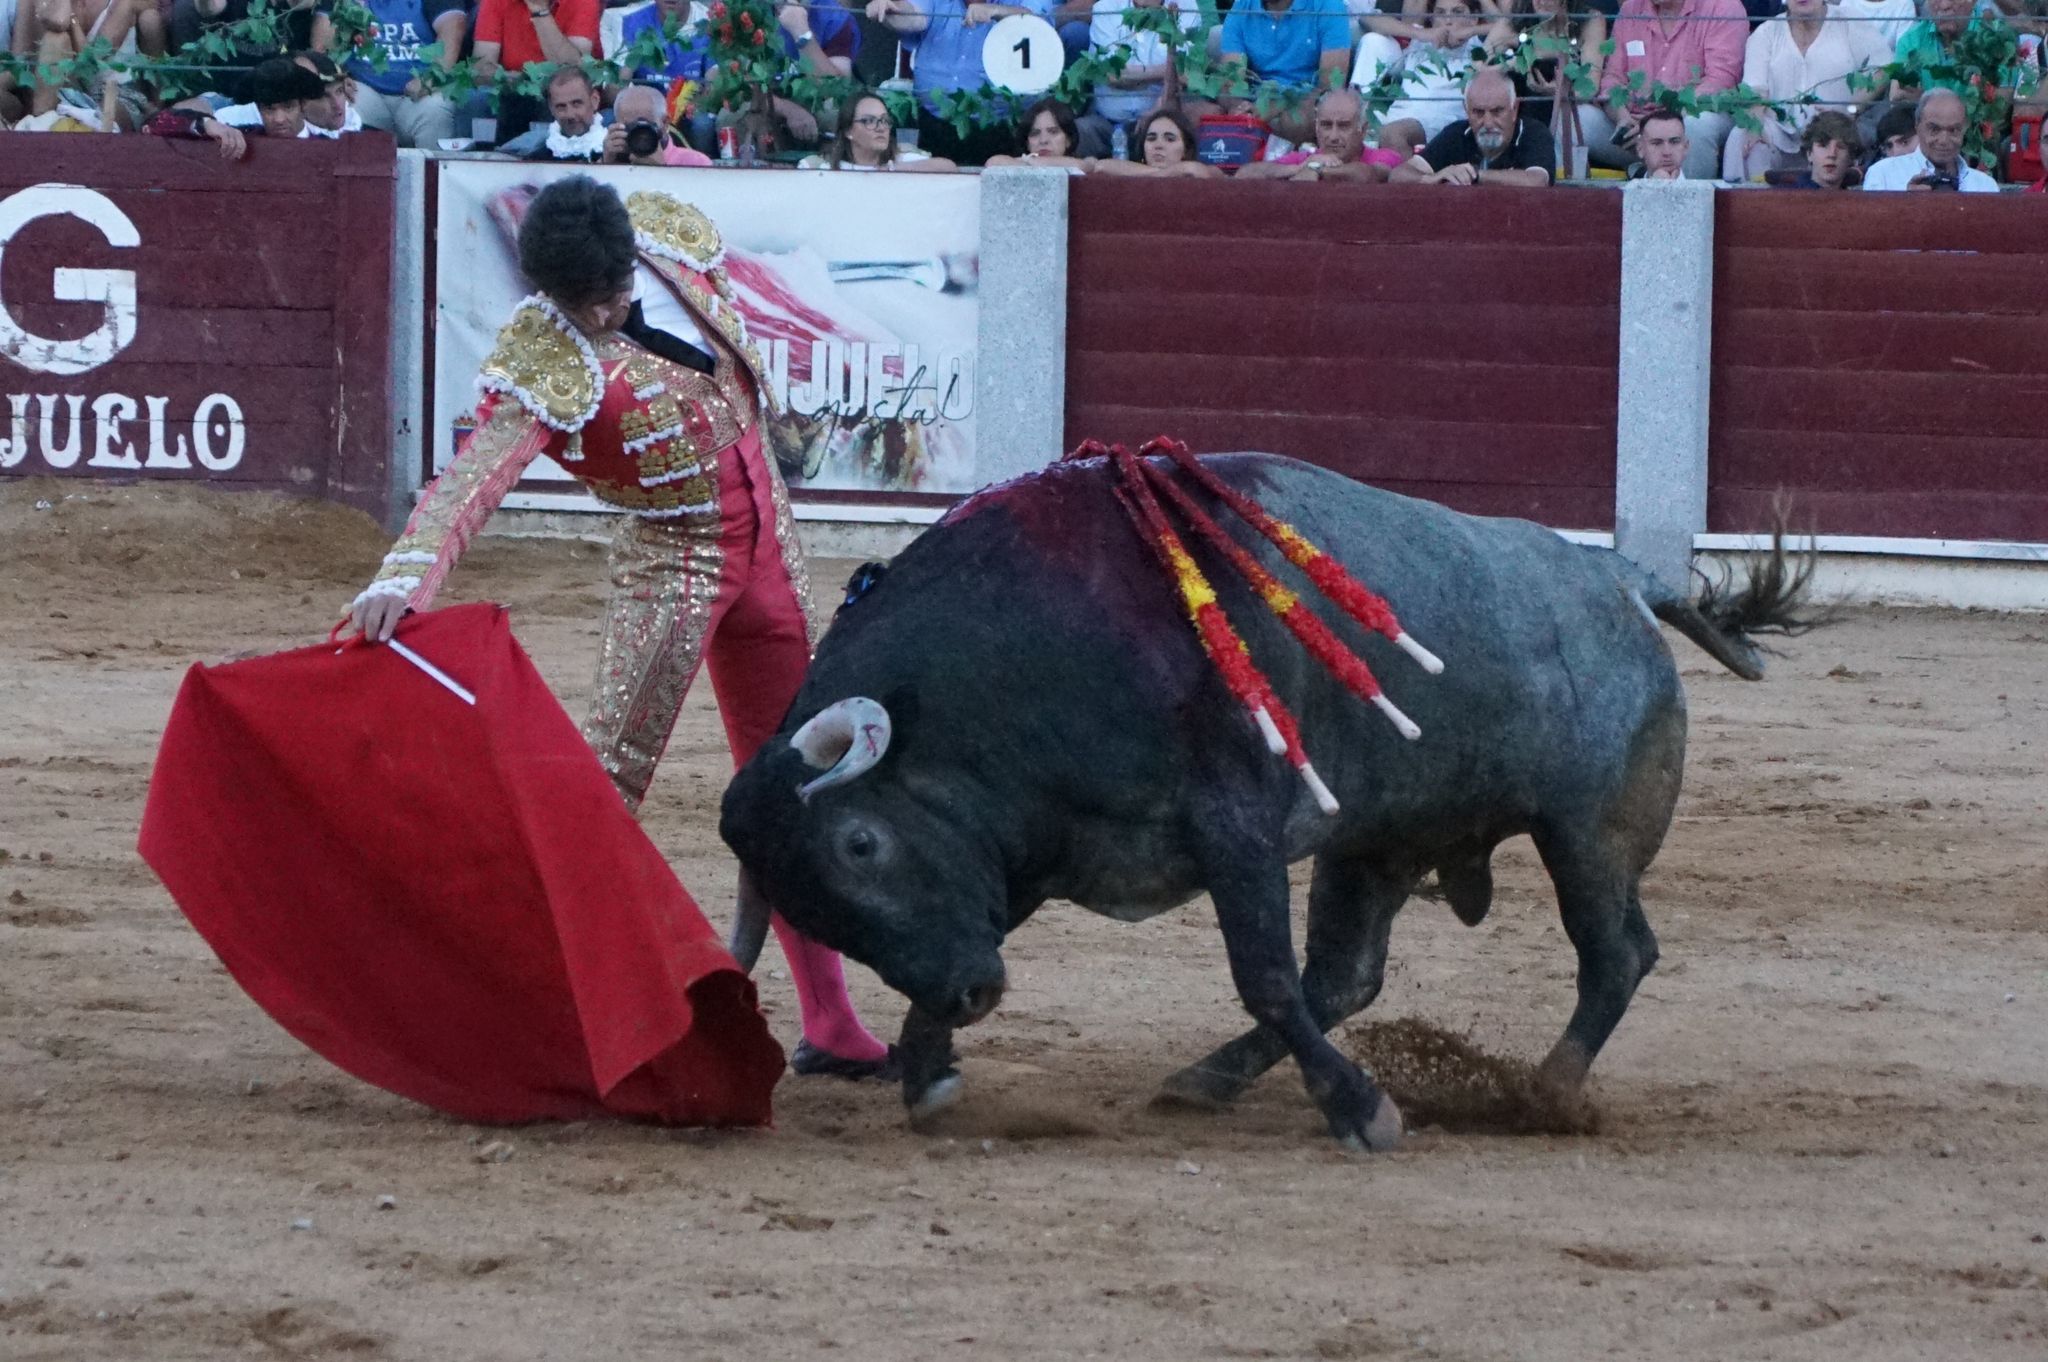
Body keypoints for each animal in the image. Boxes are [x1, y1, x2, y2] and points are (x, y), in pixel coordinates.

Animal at [724, 450, 1810, 1138]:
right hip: (1376, 842)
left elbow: (1264, 974)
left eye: (859, 844)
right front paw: (928, 1068)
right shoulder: (1028, 849)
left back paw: (1542, 1094)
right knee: (1349, 976)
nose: (971, 994)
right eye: (806, 906)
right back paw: (1204, 1080)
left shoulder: (1234, 828)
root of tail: (1622, 578)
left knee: (1613, 955)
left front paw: (1362, 1113)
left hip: (1585, 836)